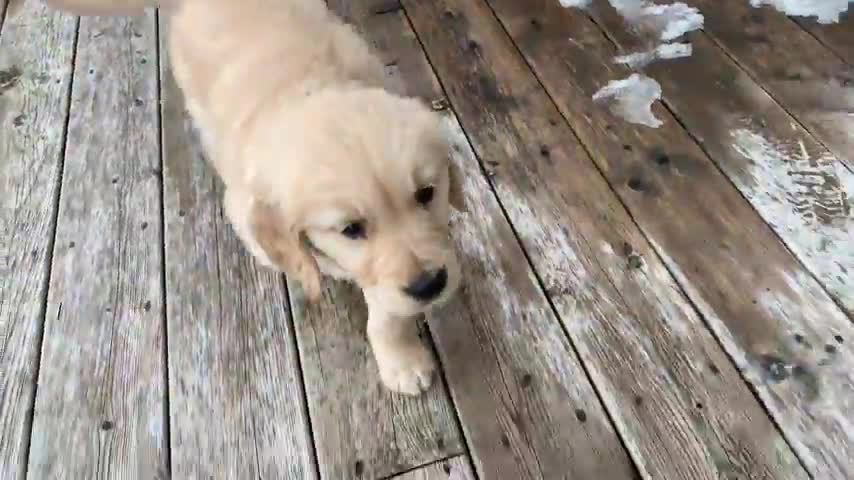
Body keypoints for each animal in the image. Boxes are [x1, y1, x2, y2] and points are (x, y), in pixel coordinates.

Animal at [50, 0, 464, 396]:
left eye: (427, 193)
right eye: (350, 229)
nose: (430, 285)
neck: (308, 87)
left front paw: (402, 359)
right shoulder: (251, 214)